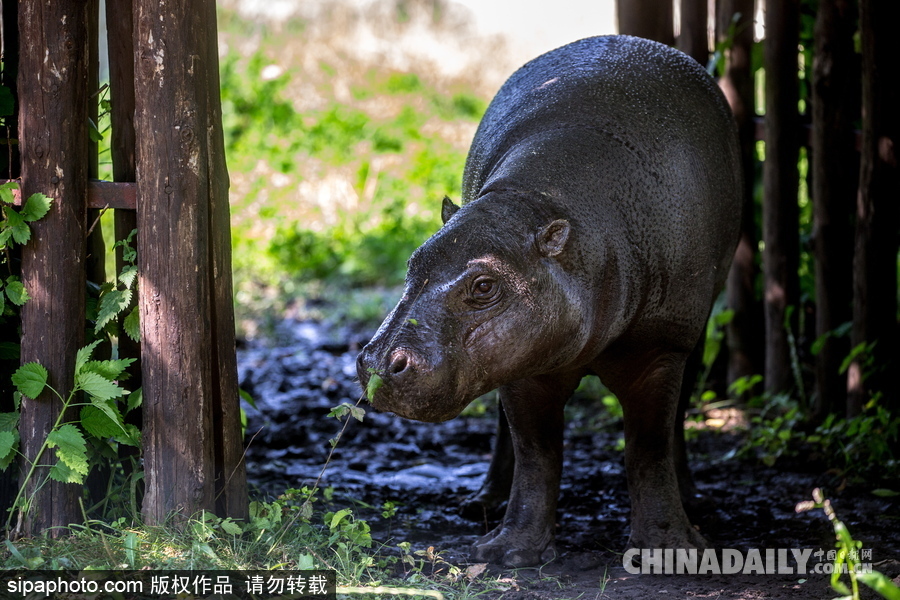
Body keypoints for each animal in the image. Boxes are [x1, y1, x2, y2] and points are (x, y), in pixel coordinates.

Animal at [356, 35, 740, 564]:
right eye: (414, 262)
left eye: (484, 285)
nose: (377, 362)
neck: (538, 205)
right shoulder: (524, 361)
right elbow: (536, 452)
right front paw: (506, 553)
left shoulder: (659, 348)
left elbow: (648, 446)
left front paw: (670, 549)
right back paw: (483, 503)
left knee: (677, 415)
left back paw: (693, 499)